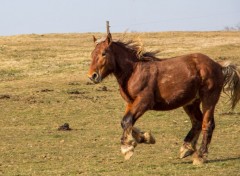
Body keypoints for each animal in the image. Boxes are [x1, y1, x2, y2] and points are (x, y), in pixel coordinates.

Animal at [87, 32, 240, 165]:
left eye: (103, 53)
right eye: (92, 54)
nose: (92, 76)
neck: (134, 71)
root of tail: (218, 66)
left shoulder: (144, 102)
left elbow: (127, 121)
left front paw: (127, 148)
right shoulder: (131, 103)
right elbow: (126, 122)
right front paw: (144, 137)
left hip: (209, 98)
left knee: (207, 124)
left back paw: (200, 155)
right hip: (190, 102)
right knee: (197, 121)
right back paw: (186, 148)